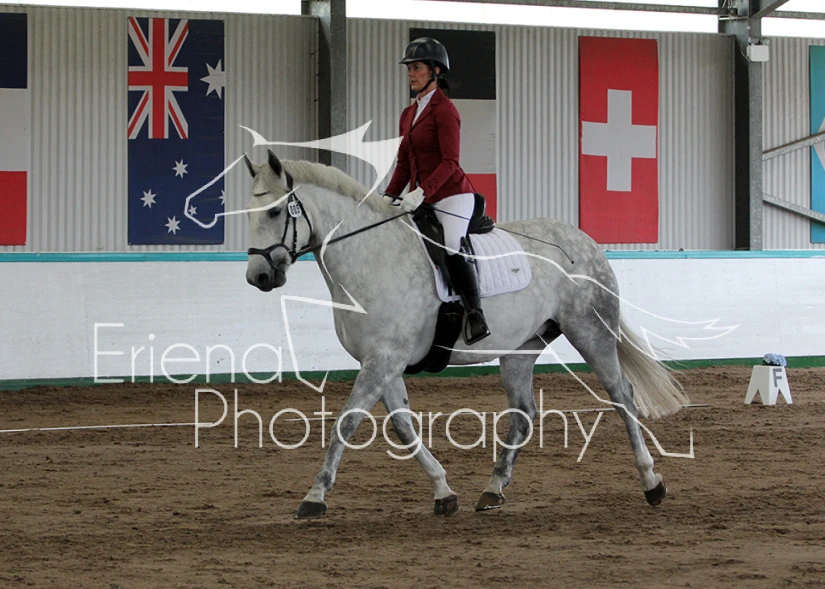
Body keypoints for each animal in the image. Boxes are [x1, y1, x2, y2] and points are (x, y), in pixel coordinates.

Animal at [243, 150, 688, 519]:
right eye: (249, 211)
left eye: (276, 211)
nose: (258, 277)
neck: (371, 256)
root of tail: (586, 241)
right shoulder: (384, 362)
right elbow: (402, 426)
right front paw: (443, 492)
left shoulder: (383, 359)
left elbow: (347, 421)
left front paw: (314, 497)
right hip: (521, 348)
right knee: (524, 413)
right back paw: (492, 491)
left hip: (590, 330)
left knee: (622, 396)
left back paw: (652, 482)